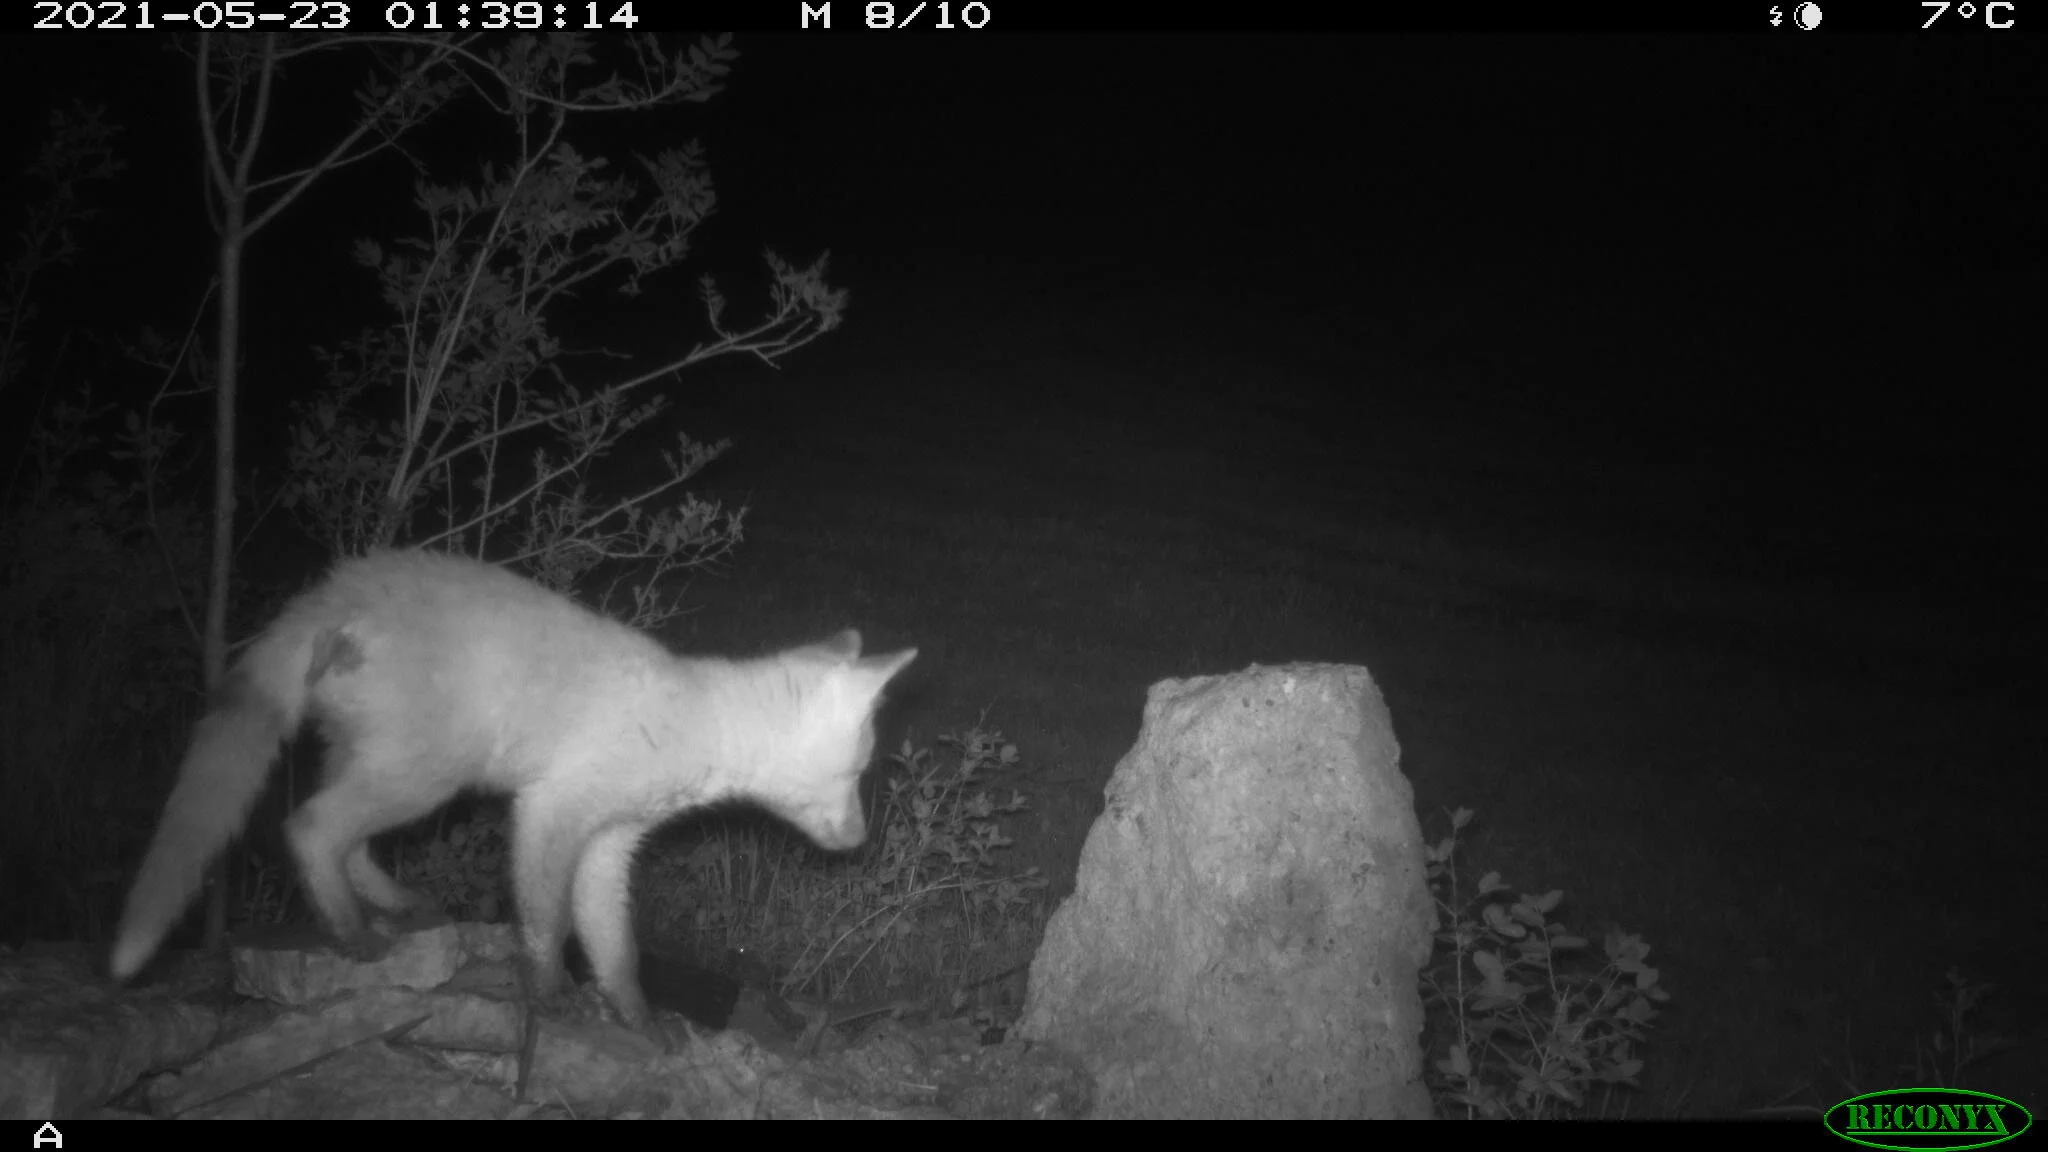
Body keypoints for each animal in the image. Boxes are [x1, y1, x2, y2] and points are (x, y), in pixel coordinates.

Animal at [108, 549, 917, 1029]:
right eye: (857, 773)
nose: (860, 840)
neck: (696, 718)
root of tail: (337, 592)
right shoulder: (552, 810)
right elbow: (544, 925)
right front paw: (550, 997)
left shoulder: (609, 843)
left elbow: (613, 945)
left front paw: (636, 1021)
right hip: (425, 772)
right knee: (309, 827)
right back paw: (350, 929)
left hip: (368, 757)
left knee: (347, 839)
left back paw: (388, 903)